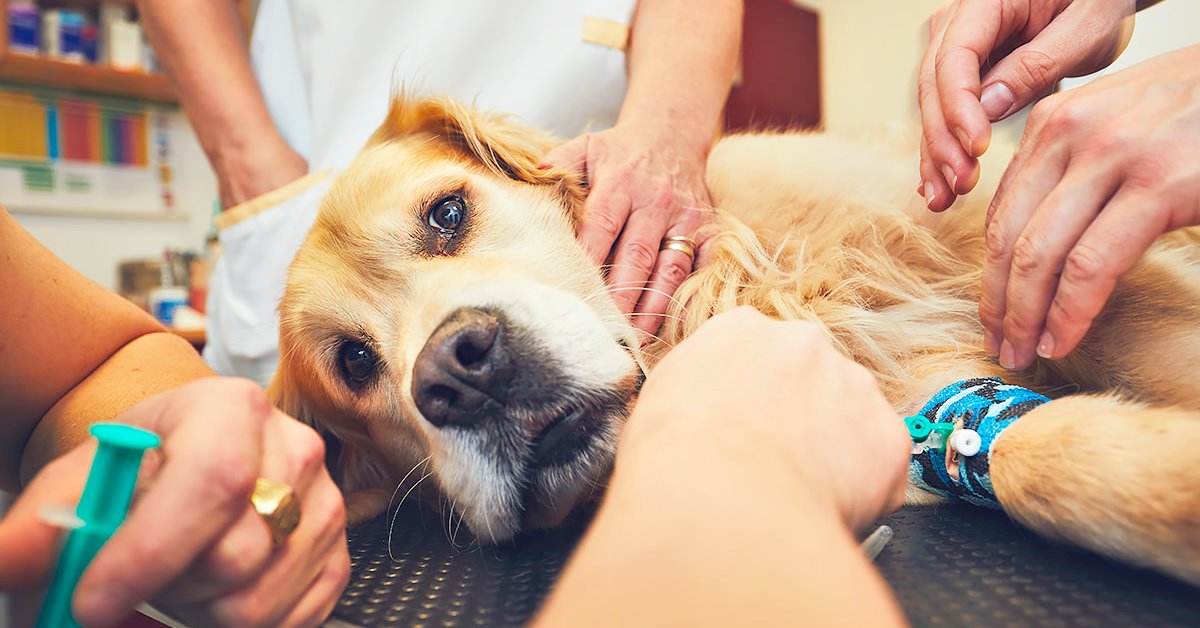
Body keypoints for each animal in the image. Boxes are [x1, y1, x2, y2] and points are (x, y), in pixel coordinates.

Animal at [270, 96, 1200, 588]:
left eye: (447, 213)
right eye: (354, 363)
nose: (460, 375)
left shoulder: (1030, 257)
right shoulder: (924, 417)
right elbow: (1035, 455)